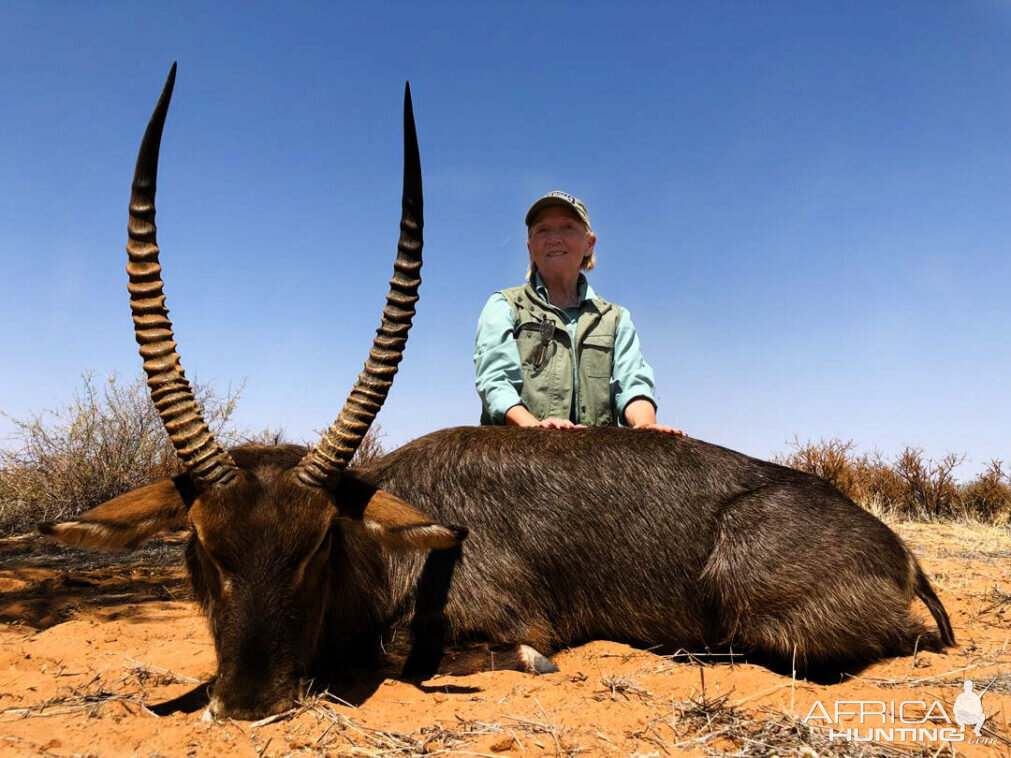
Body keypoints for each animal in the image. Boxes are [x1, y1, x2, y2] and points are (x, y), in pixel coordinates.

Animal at [41, 63, 954, 719]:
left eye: (318, 543)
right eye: (199, 543)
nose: (246, 706)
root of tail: (896, 549)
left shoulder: (503, 618)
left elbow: (416, 653)